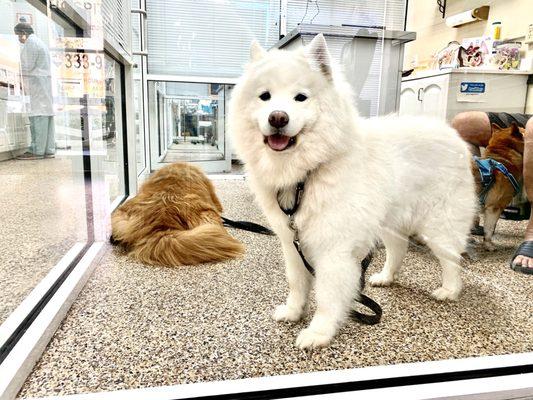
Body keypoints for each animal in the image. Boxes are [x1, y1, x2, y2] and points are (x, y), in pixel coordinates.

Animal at [228, 34, 474, 348]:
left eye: (300, 98)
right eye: (265, 96)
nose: (278, 118)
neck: (308, 172)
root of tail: (453, 136)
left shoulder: (334, 250)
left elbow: (327, 296)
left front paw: (319, 332)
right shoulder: (293, 243)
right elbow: (297, 283)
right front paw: (293, 312)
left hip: (439, 225)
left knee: (452, 259)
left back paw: (449, 291)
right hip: (391, 221)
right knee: (399, 249)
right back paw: (385, 277)